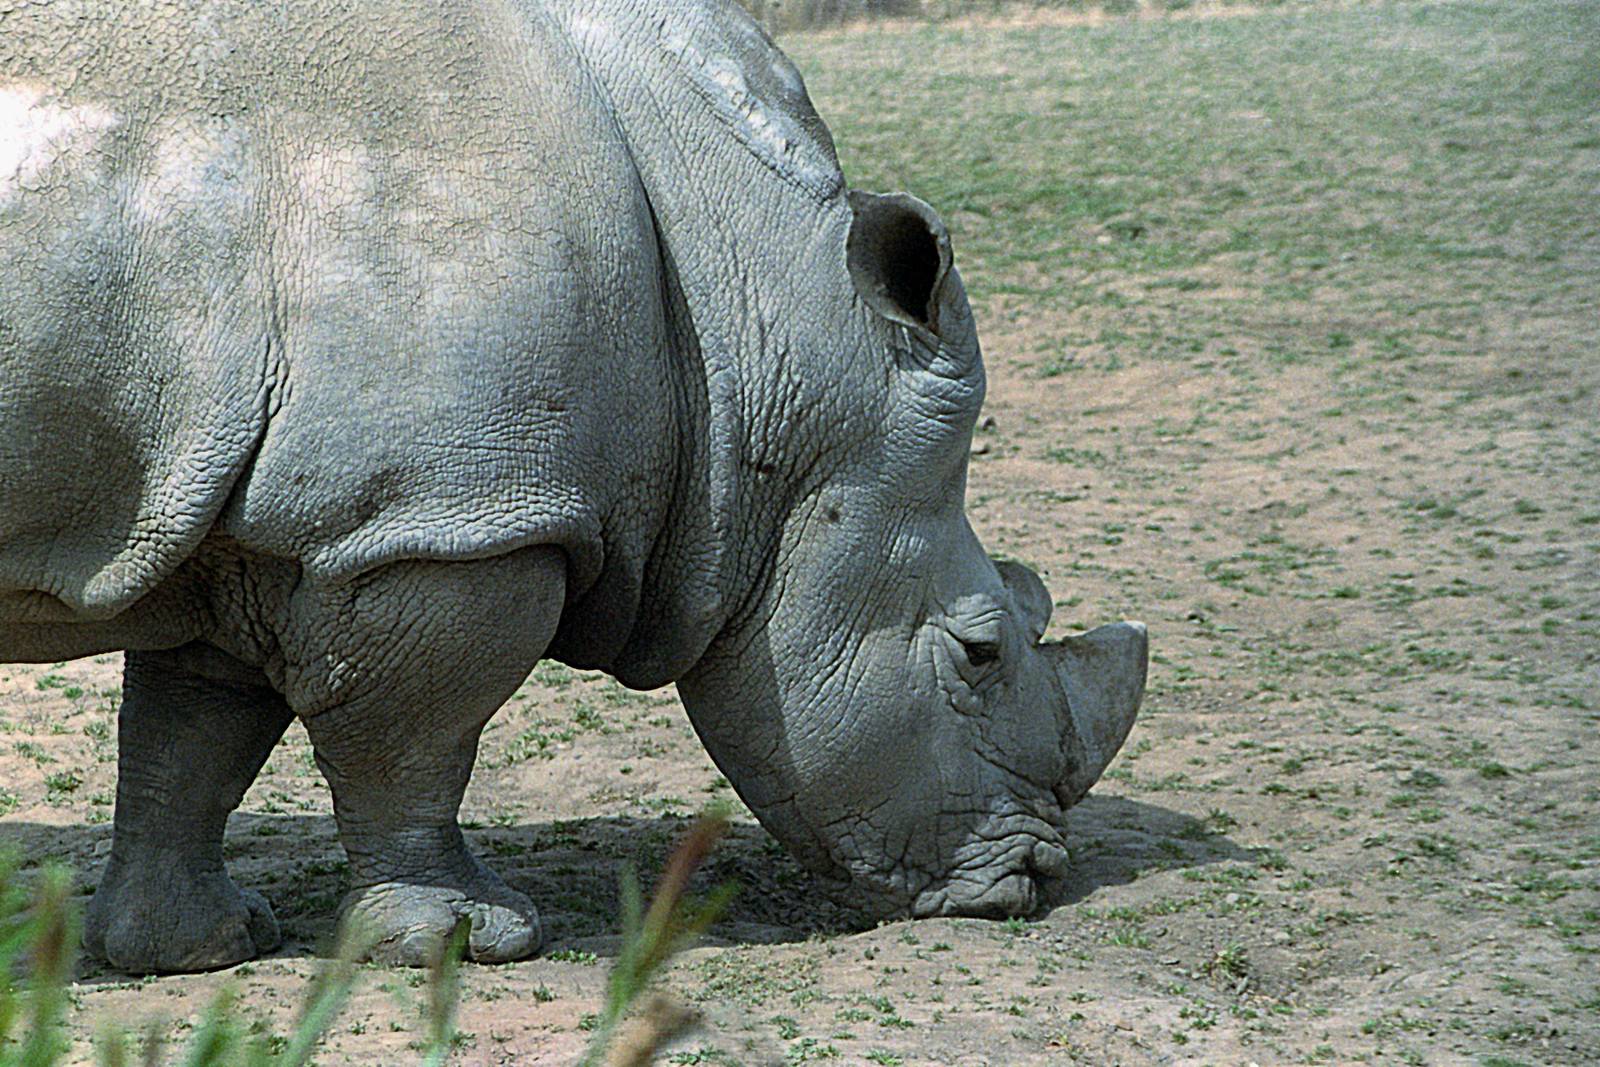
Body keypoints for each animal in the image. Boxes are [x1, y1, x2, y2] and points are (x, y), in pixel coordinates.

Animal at [0, 0, 1146, 973]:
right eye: (978, 652)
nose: (1030, 883)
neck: (761, 322)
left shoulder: (257, 521)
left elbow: (191, 734)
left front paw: (195, 948)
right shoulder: (437, 521)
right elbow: (414, 741)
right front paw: (469, 940)